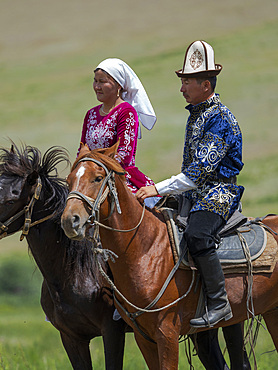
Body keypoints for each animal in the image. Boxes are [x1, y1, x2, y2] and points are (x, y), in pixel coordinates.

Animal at [60, 143, 276, 368]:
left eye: (97, 178)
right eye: (69, 180)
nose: (70, 220)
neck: (145, 249)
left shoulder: (167, 333)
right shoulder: (143, 337)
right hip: (270, 313)